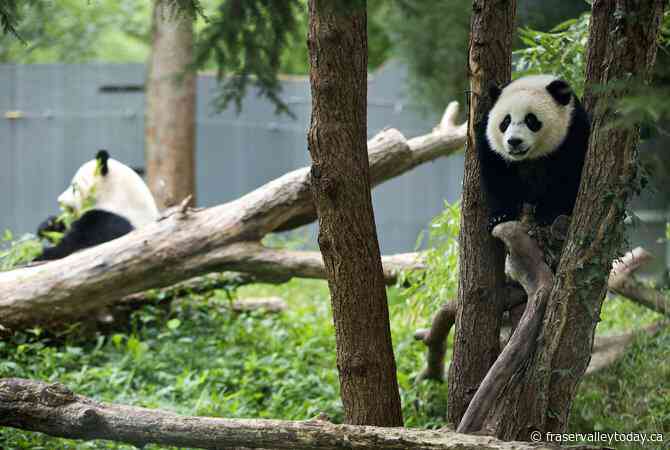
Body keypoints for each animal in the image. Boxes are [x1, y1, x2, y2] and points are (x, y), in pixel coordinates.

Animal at [477, 75, 591, 232]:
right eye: (506, 121)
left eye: (530, 120)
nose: (514, 141)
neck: (530, 157)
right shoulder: (490, 145)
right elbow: (497, 175)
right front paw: (500, 216)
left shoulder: (573, 132)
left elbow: (567, 176)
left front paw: (548, 214)